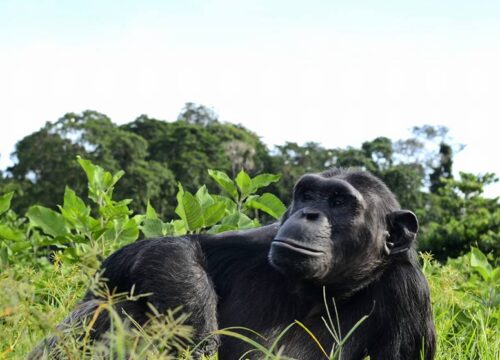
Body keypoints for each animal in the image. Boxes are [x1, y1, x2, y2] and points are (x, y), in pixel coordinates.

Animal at [32, 169, 438, 360]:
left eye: (339, 202)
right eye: (308, 194)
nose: (308, 213)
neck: (319, 289)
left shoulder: (410, 292)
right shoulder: (259, 241)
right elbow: (166, 249)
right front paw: (197, 329)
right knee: (112, 304)